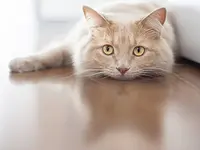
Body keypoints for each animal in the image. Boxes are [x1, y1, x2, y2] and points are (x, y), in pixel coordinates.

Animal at [8, 0, 176, 79]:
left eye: (139, 51)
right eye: (107, 49)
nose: (122, 69)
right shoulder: (71, 44)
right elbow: (51, 54)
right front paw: (21, 63)